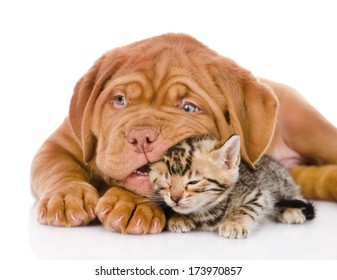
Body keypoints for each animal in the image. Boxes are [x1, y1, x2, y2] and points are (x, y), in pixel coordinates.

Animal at [148, 135, 314, 238]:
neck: (207, 211)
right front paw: (178, 218)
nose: (175, 198)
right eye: (167, 184)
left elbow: (247, 208)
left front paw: (234, 223)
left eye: (193, 182)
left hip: (282, 182)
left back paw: (292, 211)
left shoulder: (258, 193)